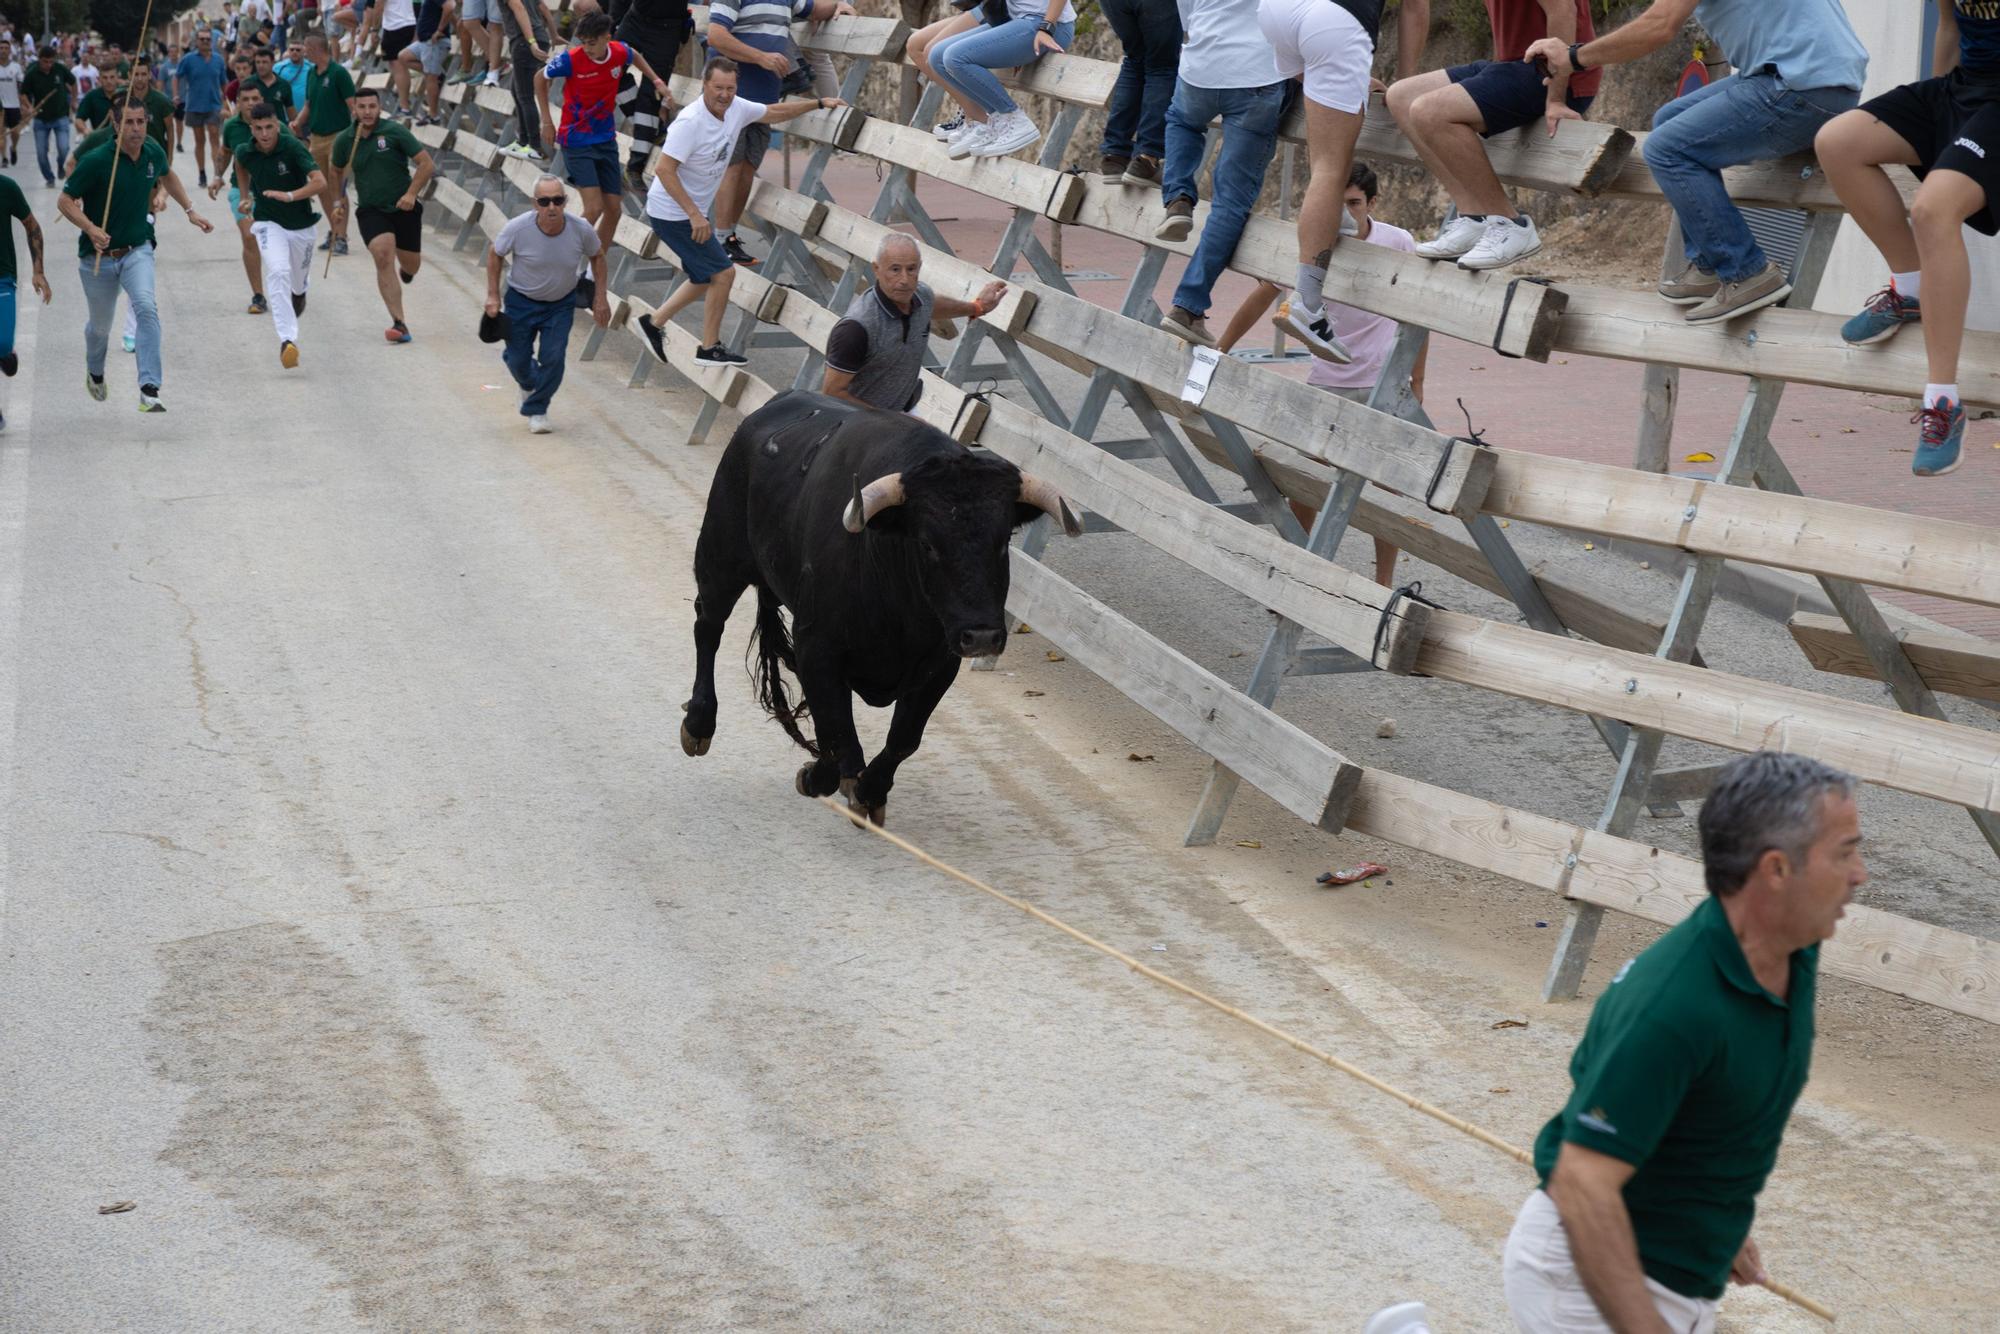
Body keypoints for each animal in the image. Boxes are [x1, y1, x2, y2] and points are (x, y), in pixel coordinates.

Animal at [676, 392, 1088, 824]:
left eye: (1004, 540)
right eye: (926, 543)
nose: (982, 636)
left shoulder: (939, 665)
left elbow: (902, 738)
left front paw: (870, 791)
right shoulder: (817, 647)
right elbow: (838, 734)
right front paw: (820, 777)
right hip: (721, 556)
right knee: (708, 627)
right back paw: (699, 724)